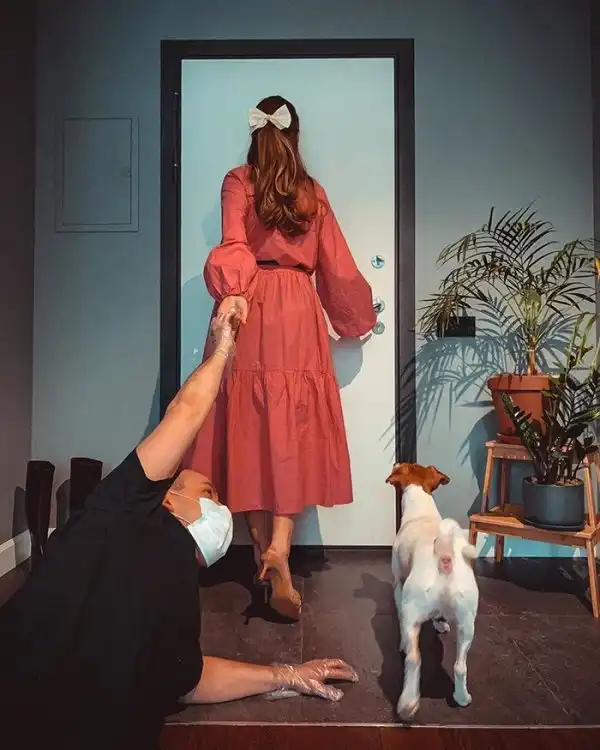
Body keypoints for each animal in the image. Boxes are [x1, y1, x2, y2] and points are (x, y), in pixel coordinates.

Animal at [386, 462, 479, 721]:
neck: (422, 512)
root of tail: (444, 555)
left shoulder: (398, 584)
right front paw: (440, 623)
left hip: (412, 613)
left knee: (414, 659)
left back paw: (407, 703)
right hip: (467, 625)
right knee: (460, 666)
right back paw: (462, 698)